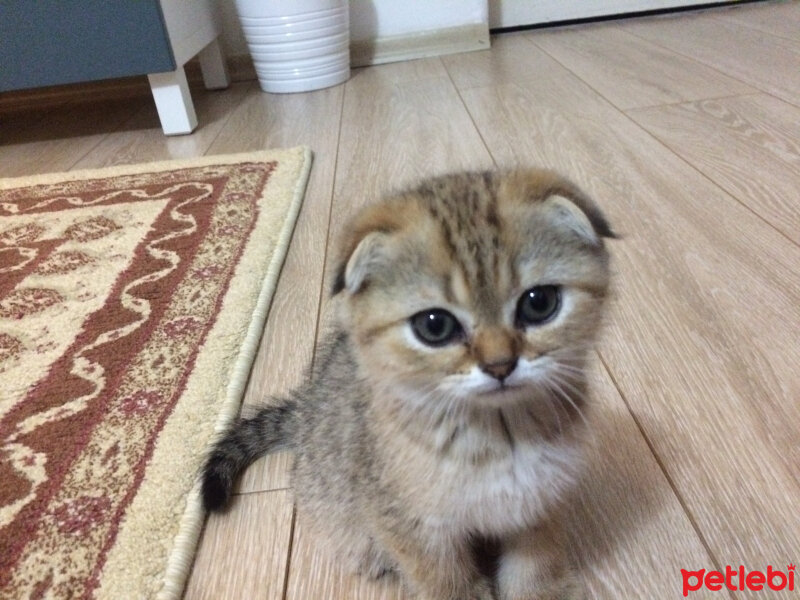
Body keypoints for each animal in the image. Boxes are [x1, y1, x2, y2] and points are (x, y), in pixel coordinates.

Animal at [203, 169, 616, 600]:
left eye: (539, 303)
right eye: (435, 326)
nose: (500, 364)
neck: (499, 434)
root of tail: (303, 412)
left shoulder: (540, 504)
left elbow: (536, 562)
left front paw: (543, 590)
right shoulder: (412, 527)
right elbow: (445, 582)